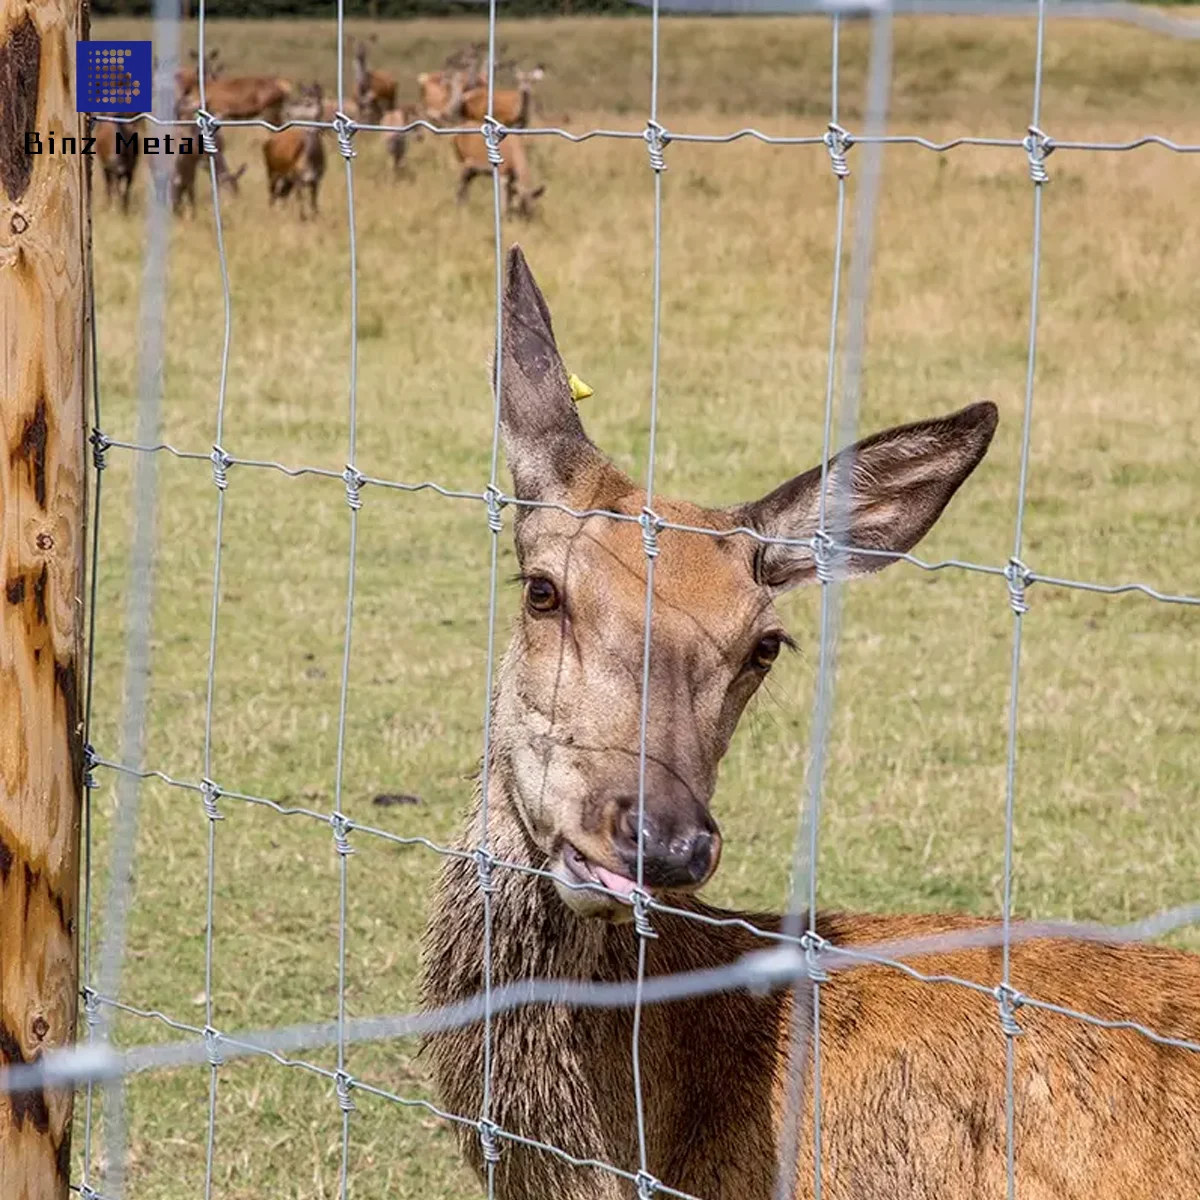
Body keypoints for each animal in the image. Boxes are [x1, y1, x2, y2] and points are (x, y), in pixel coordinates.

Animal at [262, 84, 326, 218]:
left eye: (317, 101)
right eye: (303, 101)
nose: (310, 130)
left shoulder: (317, 178)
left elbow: (314, 203)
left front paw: (316, 217)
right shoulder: (298, 177)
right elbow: (301, 201)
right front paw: (302, 218)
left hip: (287, 178)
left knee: (282, 194)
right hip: (271, 169)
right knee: (272, 193)